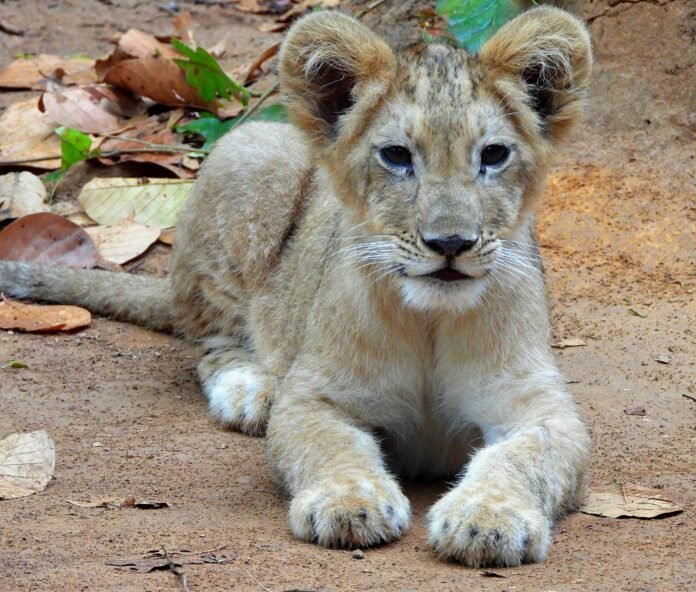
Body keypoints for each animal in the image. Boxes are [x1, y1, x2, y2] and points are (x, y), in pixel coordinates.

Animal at [0, 7, 593, 567]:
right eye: (397, 156)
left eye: (493, 155)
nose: (450, 243)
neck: (430, 319)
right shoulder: (315, 396)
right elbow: (332, 446)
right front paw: (349, 503)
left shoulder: (541, 406)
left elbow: (524, 457)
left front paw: (487, 519)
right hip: (252, 150)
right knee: (214, 341)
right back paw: (250, 391)